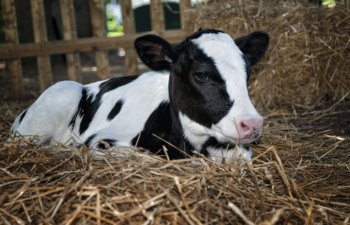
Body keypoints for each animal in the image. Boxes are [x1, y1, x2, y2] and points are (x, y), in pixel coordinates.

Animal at [10, 29, 268, 162]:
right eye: (202, 75)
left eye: (247, 72)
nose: (253, 124)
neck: (190, 144)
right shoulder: (102, 142)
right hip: (61, 94)